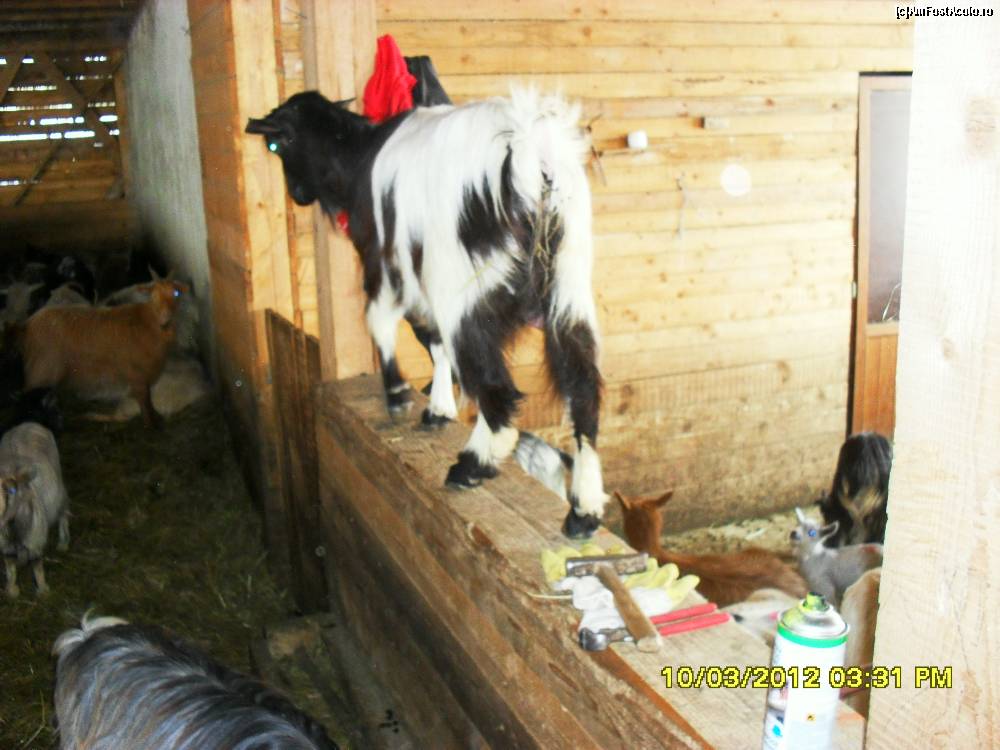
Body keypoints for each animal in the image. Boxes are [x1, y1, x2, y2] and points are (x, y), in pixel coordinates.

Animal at [0, 422, 69, 597]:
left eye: (10, 491)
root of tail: (27, 423)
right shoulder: (5, 546)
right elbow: (10, 567)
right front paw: (12, 590)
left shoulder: (35, 540)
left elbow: (37, 566)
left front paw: (43, 590)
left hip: (59, 488)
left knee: (63, 512)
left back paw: (63, 542)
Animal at [18, 278, 189, 427]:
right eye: (153, 295)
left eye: (176, 293)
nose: (165, 318)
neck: (148, 321)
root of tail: (30, 322)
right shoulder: (137, 373)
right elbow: (144, 400)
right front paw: (150, 425)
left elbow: (149, 400)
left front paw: (155, 417)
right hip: (41, 370)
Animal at [247, 89, 607, 537]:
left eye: (276, 145)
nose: (297, 193)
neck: (359, 155)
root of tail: (530, 155)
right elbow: (432, 343)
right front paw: (438, 408)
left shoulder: (386, 261)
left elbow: (386, 322)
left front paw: (399, 395)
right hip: (568, 290)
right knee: (583, 390)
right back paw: (584, 512)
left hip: (463, 289)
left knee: (495, 387)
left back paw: (472, 465)